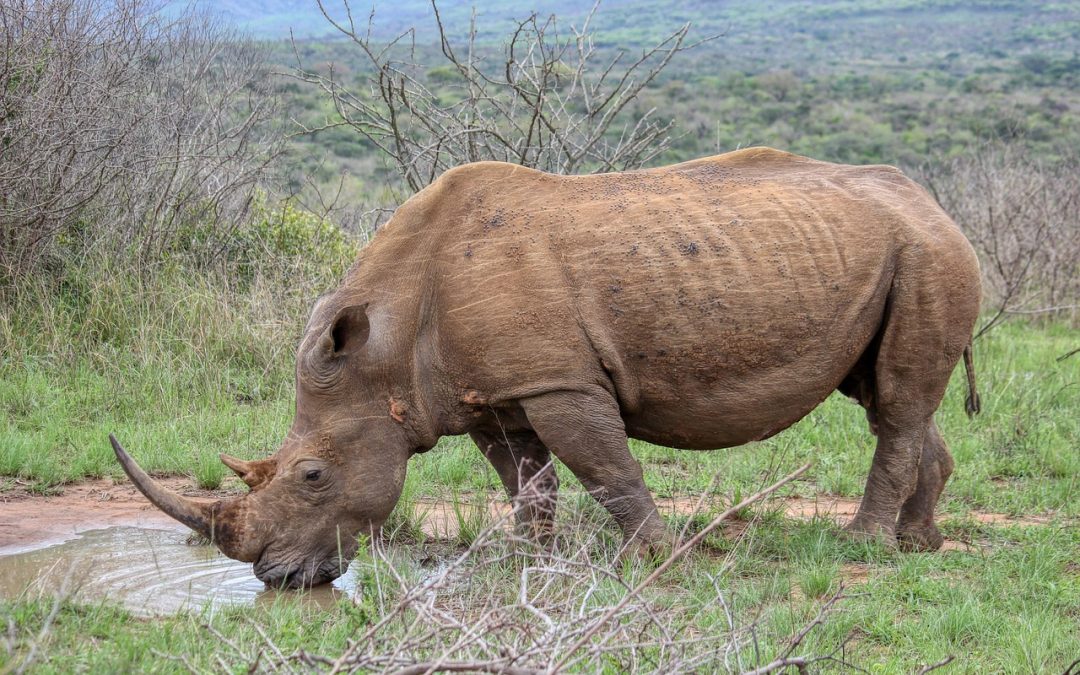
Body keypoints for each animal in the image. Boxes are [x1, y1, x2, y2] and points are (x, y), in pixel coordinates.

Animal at [111, 147, 982, 588]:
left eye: (313, 476)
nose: (279, 579)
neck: (385, 349)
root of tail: (934, 200)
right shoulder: (489, 394)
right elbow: (526, 482)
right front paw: (530, 562)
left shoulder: (557, 380)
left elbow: (607, 469)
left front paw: (656, 562)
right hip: (897, 250)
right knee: (887, 396)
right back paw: (918, 543)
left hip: (927, 250)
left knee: (897, 400)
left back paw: (863, 546)